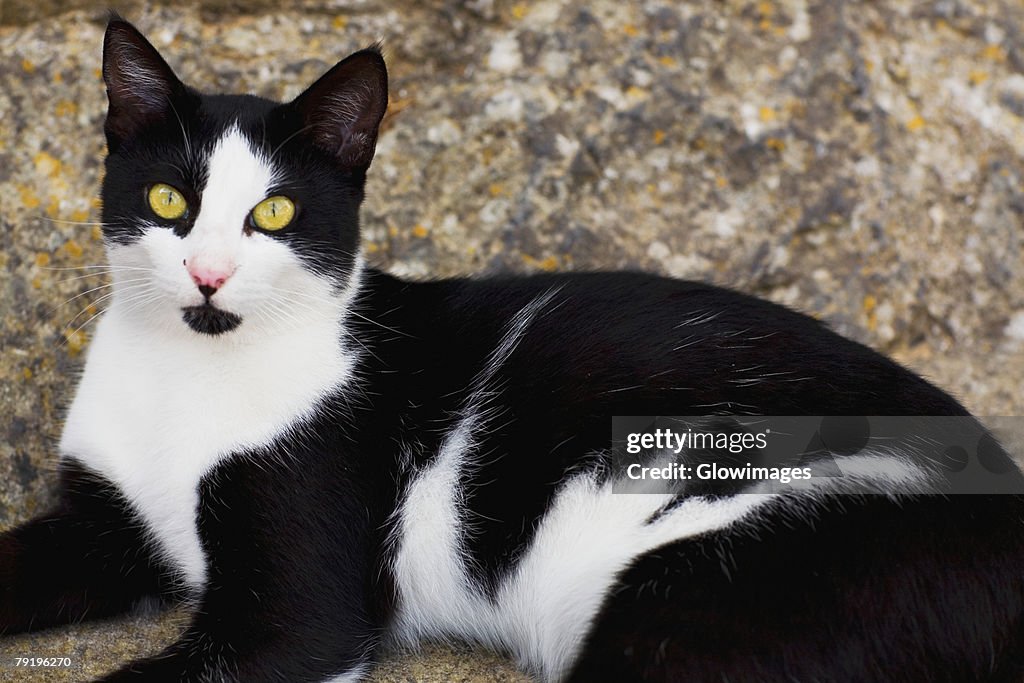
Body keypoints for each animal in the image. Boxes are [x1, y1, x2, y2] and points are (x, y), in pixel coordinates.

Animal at [2, 15, 1024, 683]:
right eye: (169, 200)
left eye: (277, 213)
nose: (209, 274)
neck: (187, 377)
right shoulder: (101, 524)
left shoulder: (298, 611)